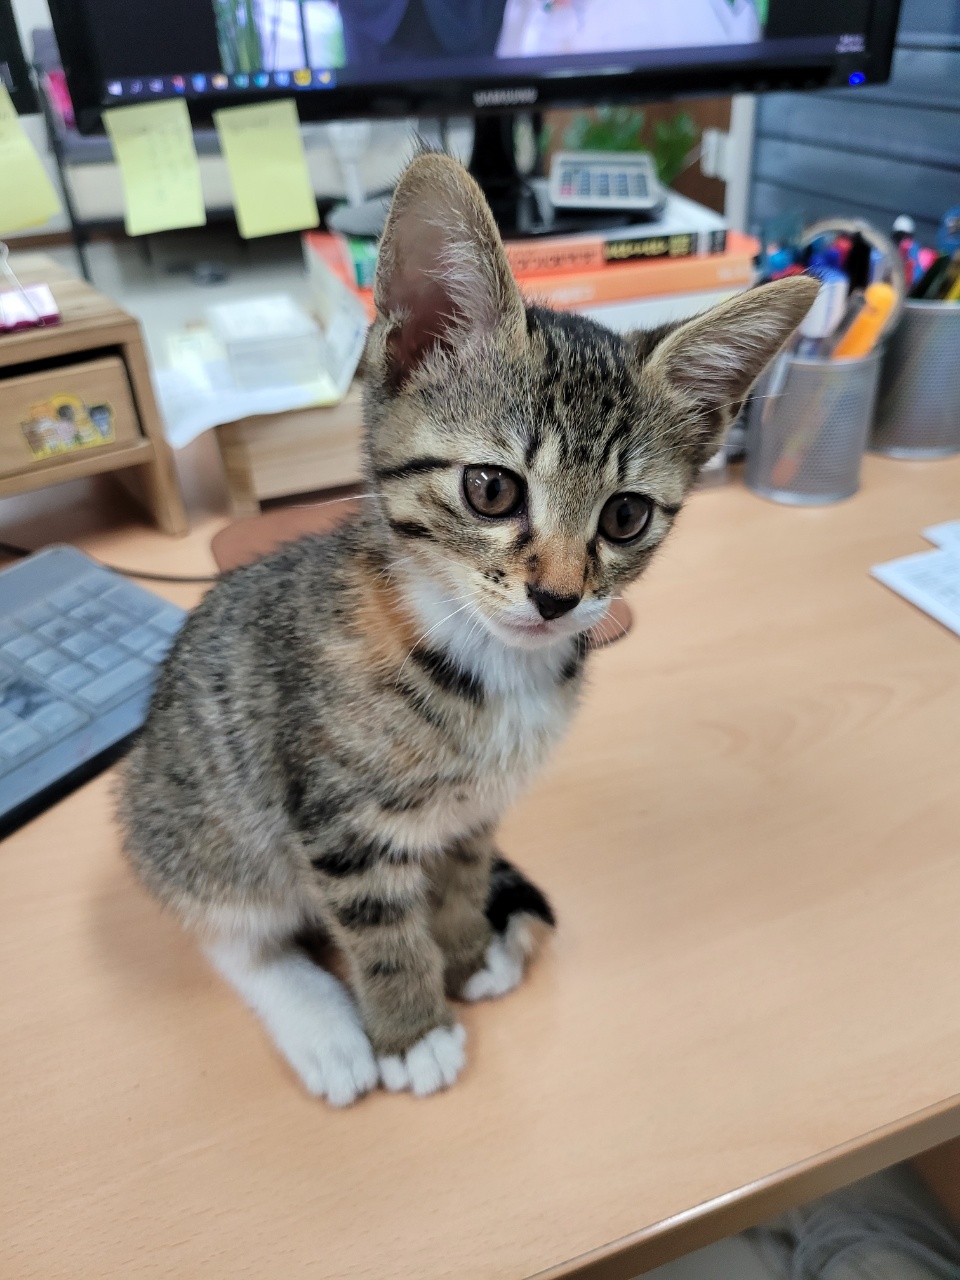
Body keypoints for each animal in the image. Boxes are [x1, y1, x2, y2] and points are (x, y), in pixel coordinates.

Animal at [119, 152, 816, 1106]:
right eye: (492, 489)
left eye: (626, 516)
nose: (558, 597)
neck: (485, 665)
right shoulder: (336, 821)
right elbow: (378, 930)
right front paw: (412, 1028)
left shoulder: (471, 815)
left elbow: (453, 882)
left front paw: (463, 951)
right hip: (205, 824)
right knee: (233, 929)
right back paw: (322, 1027)